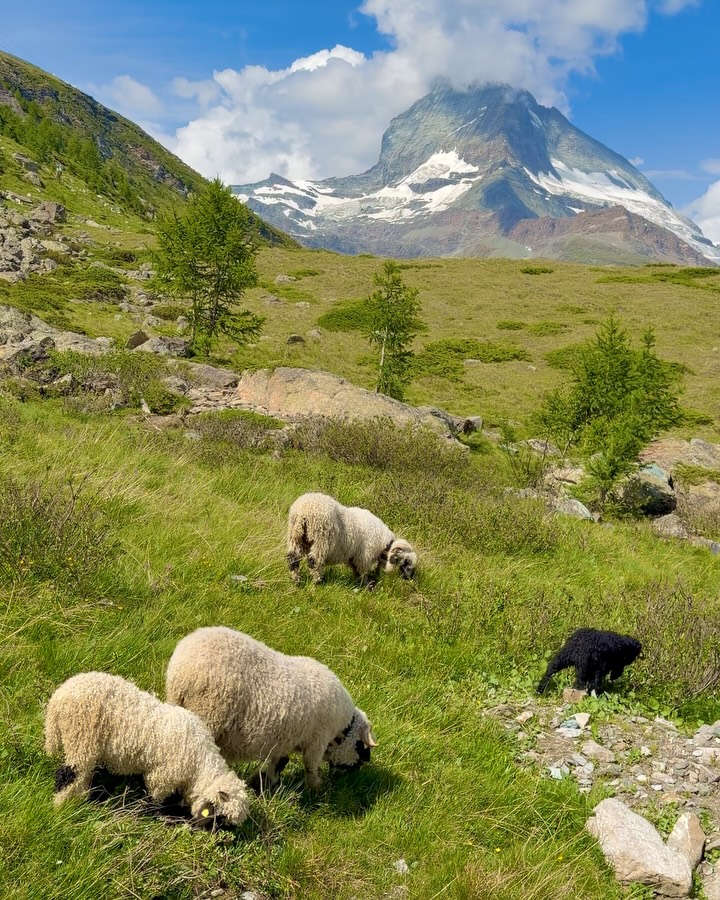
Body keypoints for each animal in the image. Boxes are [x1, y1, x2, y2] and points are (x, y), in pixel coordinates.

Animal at [44, 671, 250, 827]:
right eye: (220, 817)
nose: (201, 830)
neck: (198, 764)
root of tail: (59, 697)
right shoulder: (162, 776)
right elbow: (153, 798)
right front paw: (149, 814)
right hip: (80, 738)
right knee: (66, 775)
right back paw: (59, 806)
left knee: (82, 775)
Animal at [165, 626, 377, 791]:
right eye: (362, 745)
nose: (360, 767)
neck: (341, 729)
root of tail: (181, 665)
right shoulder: (317, 741)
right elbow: (310, 767)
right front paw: (317, 787)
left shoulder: (285, 739)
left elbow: (278, 761)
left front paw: (267, 781)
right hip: (209, 712)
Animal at [286, 491, 417, 588]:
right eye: (407, 562)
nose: (410, 579)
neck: (384, 545)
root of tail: (303, 511)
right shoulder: (364, 557)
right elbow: (363, 573)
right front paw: (366, 586)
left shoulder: (354, 558)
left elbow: (357, 572)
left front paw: (358, 584)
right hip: (321, 539)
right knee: (314, 562)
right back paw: (317, 582)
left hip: (296, 537)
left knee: (292, 559)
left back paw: (297, 581)